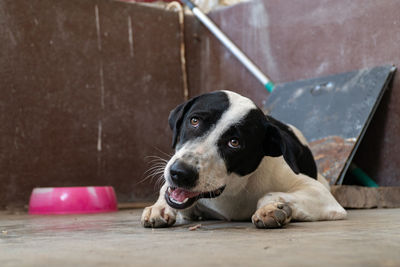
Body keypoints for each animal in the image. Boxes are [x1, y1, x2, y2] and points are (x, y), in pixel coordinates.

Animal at [141, 91, 346, 229]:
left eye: (234, 142)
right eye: (194, 121)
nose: (180, 173)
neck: (233, 190)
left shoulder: (319, 193)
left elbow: (268, 195)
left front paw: (274, 209)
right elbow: (165, 191)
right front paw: (158, 207)